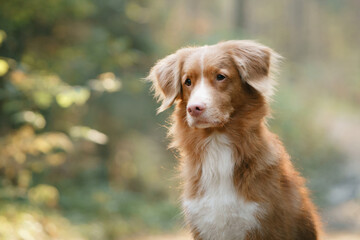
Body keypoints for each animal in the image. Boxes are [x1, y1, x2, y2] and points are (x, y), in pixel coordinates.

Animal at [148, 40, 322, 240]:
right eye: (188, 82)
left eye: (220, 77)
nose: (194, 109)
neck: (217, 144)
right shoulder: (202, 222)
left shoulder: (261, 222)